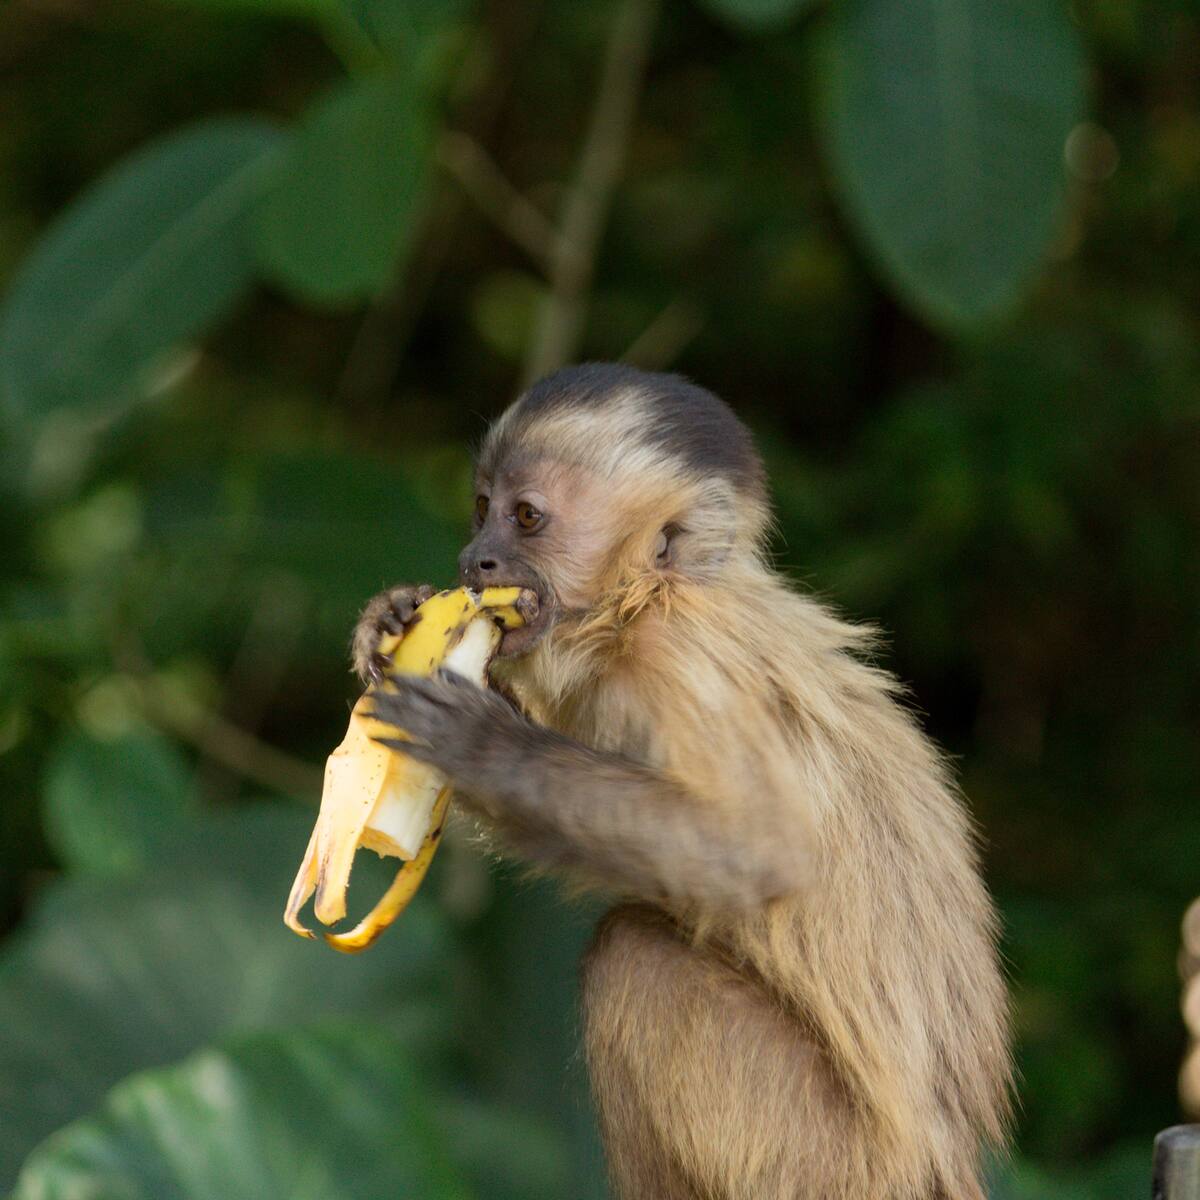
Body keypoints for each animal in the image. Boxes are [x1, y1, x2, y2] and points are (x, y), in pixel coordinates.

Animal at [356, 363, 1012, 1200]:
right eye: (481, 509)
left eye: (525, 518)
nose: (477, 559)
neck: (642, 602)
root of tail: (941, 1170)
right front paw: (388, 620)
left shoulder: (679, 661)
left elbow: (759, 851)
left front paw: (480, 745)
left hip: (828, 1162)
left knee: (632, 961)